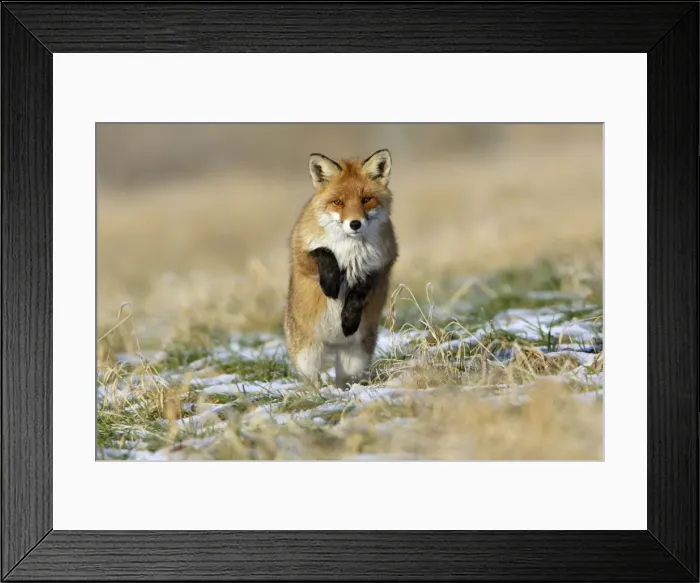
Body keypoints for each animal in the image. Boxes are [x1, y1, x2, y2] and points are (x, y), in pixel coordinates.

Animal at [284, 149, 399, 389]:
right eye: (338, 202)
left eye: (366, 200)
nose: (355, 224)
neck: (350, 250)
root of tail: (333, 344)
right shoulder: (300, 254)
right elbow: (324, 252)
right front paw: (330, 284)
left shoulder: (381, 265)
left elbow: (360, 291)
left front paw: (348, 320)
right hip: (307, 356)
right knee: (312, 380)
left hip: (355, 358)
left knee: (343, 379)